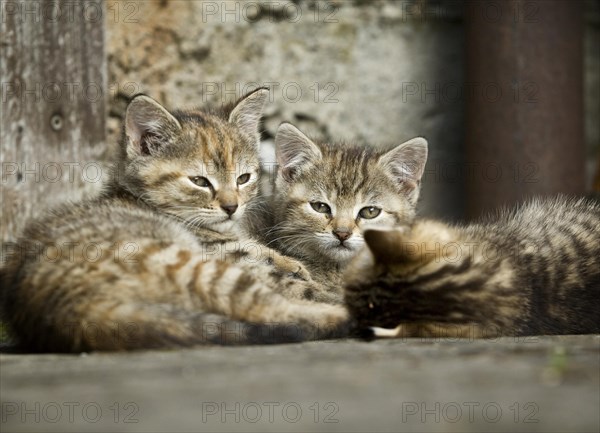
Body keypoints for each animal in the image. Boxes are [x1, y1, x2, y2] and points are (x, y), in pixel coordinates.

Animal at [0, 88, 350, 352]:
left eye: (244, 178)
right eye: (199, 181)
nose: (232, 206)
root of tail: (63, 307)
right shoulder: (233, 256)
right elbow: (290, 274)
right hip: (197, 266)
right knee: (273, 309)